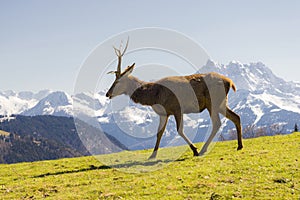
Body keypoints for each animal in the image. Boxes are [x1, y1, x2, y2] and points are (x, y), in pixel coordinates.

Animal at [105, 39, 241, 159]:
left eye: (118, 81)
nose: (107, 94)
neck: (154, 97)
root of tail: (230, 82)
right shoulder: (164, 113)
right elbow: (159, 133)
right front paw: (152, 155)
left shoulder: (177, 108)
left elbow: (179, 130)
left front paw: (194, 150)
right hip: (221, 103)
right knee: (236, 117)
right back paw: (239, 146)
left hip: (213, 102)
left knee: (217, 123)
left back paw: (203, 149)